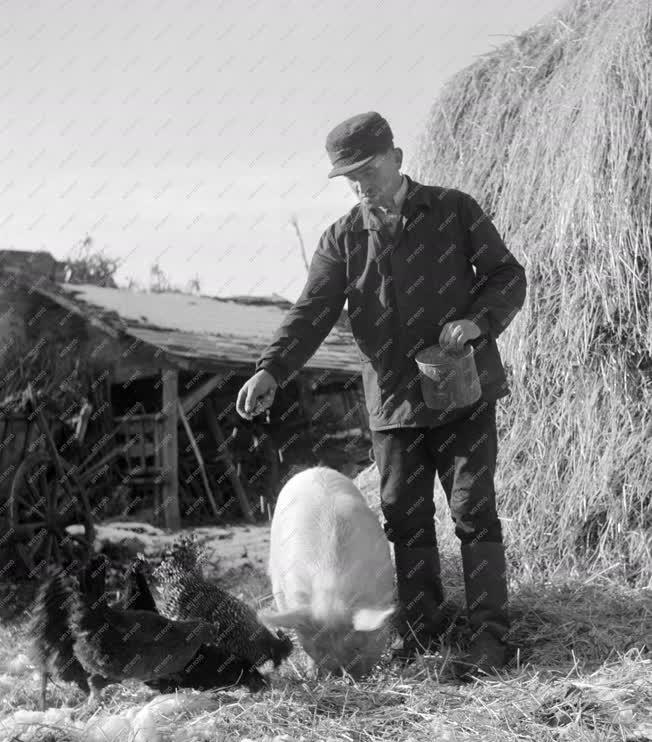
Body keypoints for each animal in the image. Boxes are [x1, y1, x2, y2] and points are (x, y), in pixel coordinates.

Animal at [258, 468, 394, 684]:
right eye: (319, 648)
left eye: (357, 645)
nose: (344, 676)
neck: (331, 586)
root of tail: (311, 469)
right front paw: (311, 674)